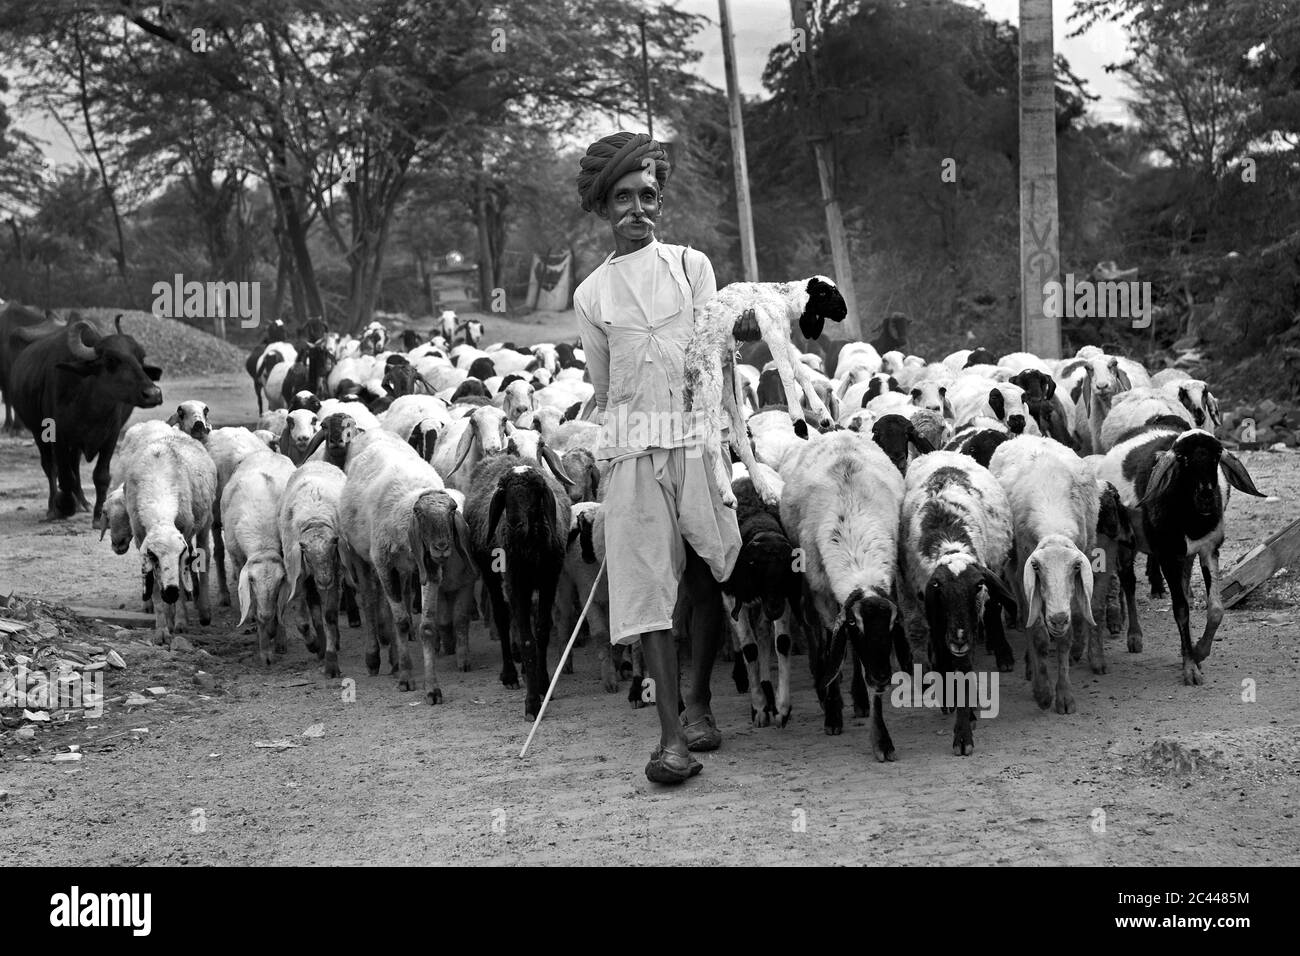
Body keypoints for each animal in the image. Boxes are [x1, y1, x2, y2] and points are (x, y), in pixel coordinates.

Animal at [11, 317, 163, 520]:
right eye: (111, 360)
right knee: (51, 467)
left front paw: (98, 514)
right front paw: (64, 505)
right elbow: (64, 476)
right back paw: (53, 507)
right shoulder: (57, 434)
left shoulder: (111, 435)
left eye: (141, 359)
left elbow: (101, 475)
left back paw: (82, 502)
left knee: (74, 465)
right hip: (38, 433)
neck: (90, 406)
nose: (153, 394)